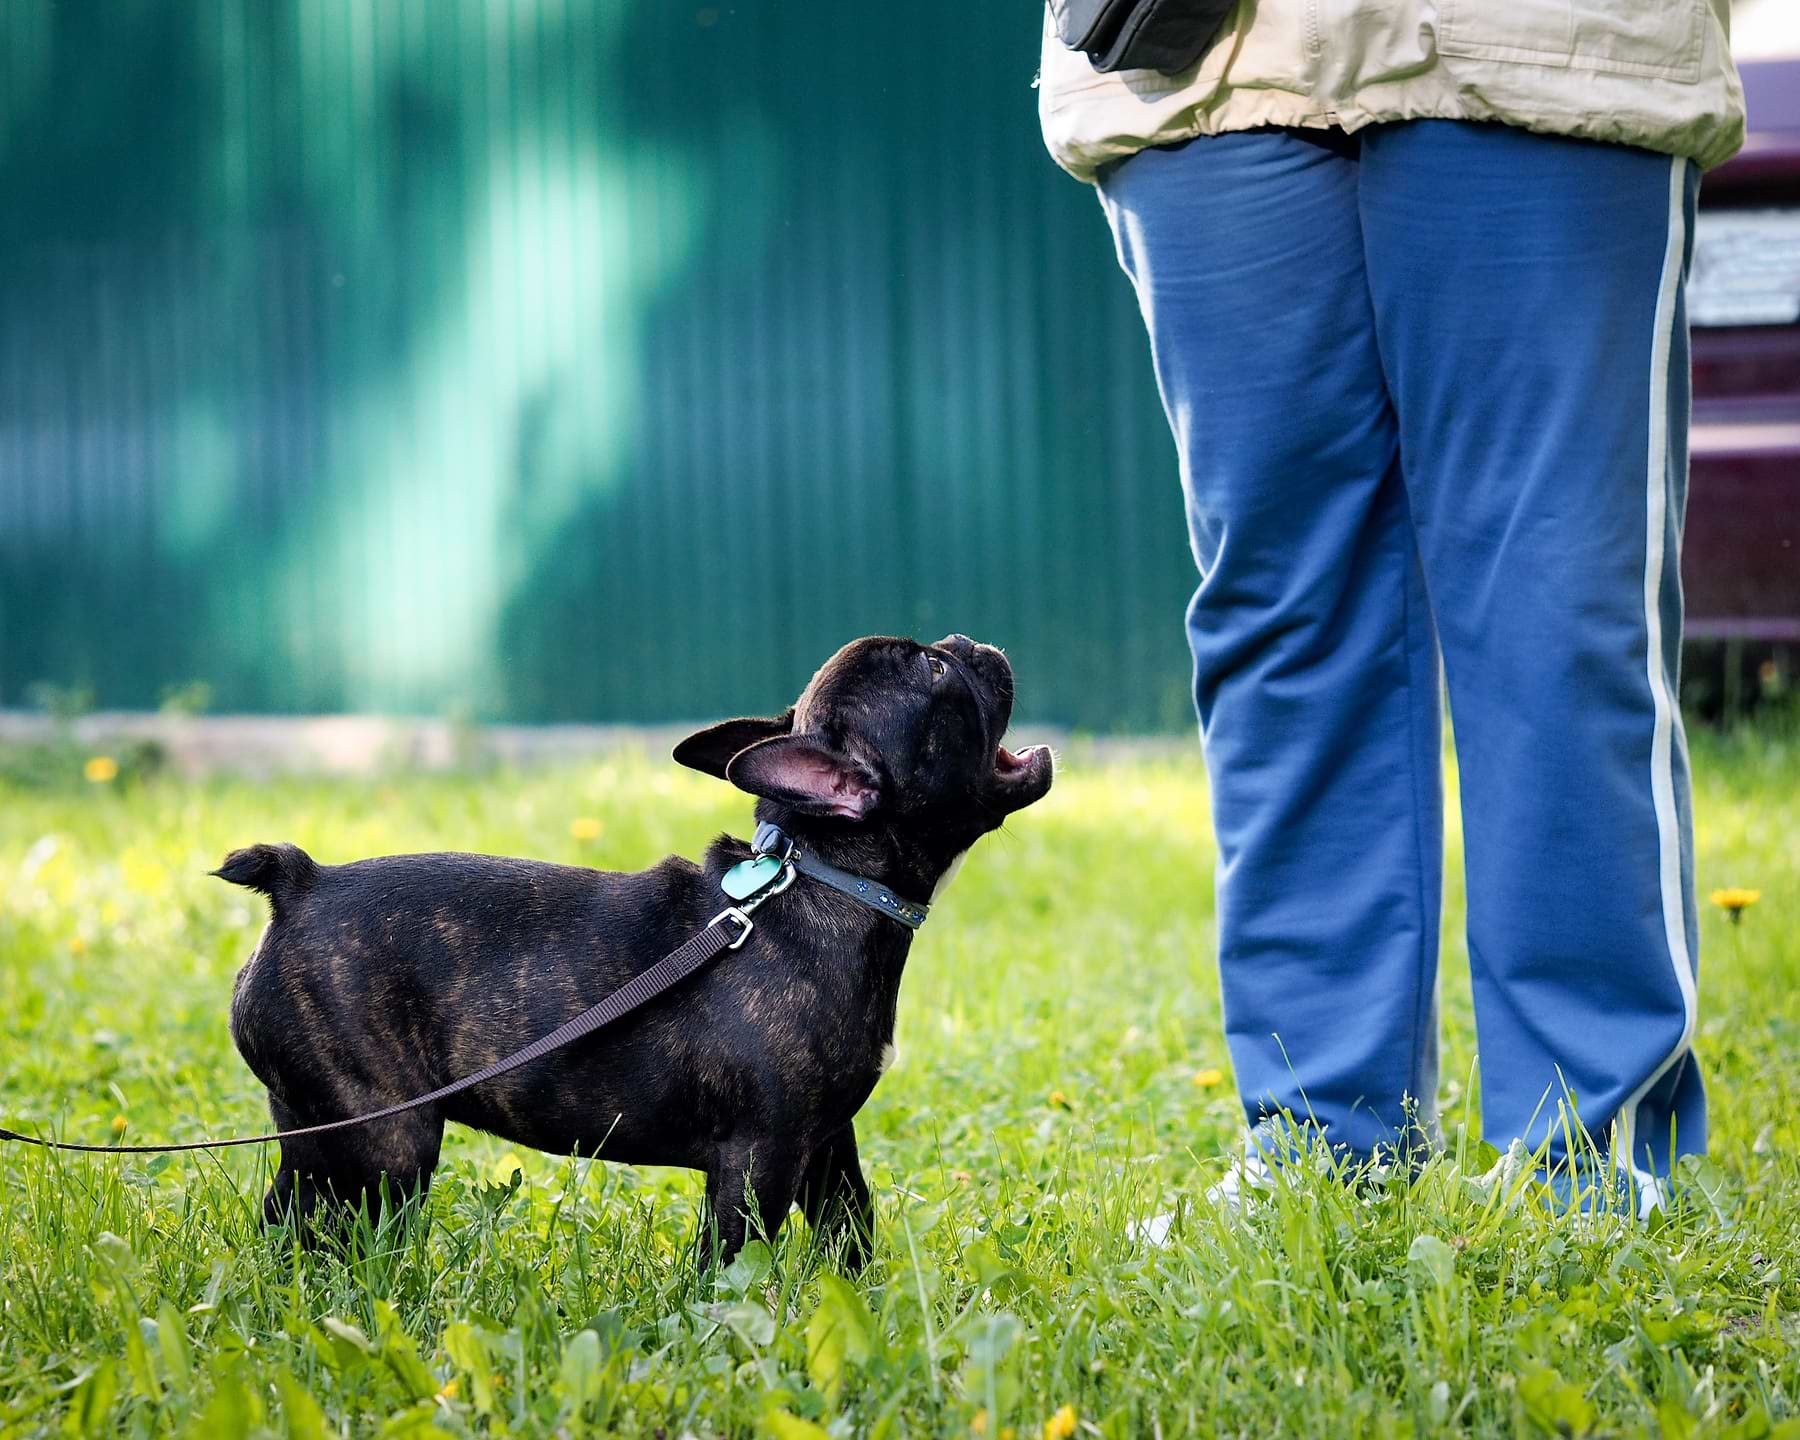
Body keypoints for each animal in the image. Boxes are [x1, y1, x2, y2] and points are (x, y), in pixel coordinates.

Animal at [221, 637, 1051, 1267]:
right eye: (935, 671)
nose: (967, 641)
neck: (825, 877)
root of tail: (301, 884)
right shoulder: (760, 1159)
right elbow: (732, 1263)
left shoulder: (825, 1146)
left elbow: (851, 1231)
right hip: (387, 1141)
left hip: (316, 1129)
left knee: (289, 1215)